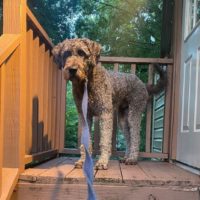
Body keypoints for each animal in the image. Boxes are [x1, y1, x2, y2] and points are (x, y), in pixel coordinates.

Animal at [52, 38, 167, 170]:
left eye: (81, 53)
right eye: (66, 54)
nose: (72, 69)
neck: (87, 83)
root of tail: (143, 85)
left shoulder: (105, 113)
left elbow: (105, 140)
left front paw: (102, 162)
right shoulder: (84, 116)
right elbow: (85, 142)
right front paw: (83, 161)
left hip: (134, 114)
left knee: (135, 137)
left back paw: (132, 158)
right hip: (123, 120)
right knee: (128, 137)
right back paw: (126, 157)